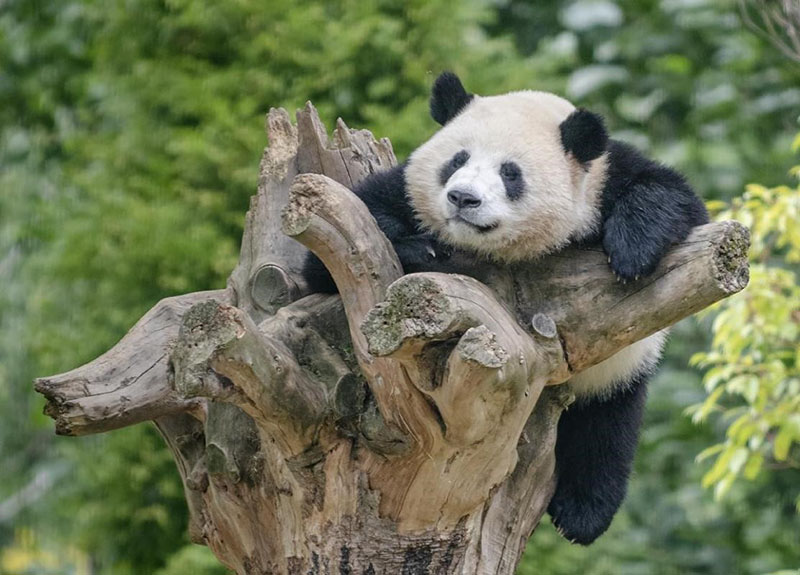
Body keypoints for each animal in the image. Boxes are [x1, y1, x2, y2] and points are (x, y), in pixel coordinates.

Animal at [300, 71, 708, 544]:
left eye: (510, 173)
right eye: (456, 160)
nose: (463, 198)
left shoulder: (605, 178)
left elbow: (677, 199)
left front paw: (631, 252)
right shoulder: (397, 193)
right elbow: (326, 260)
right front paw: (422, 248)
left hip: (614, 369)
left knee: (607, 427)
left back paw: (582, 515)